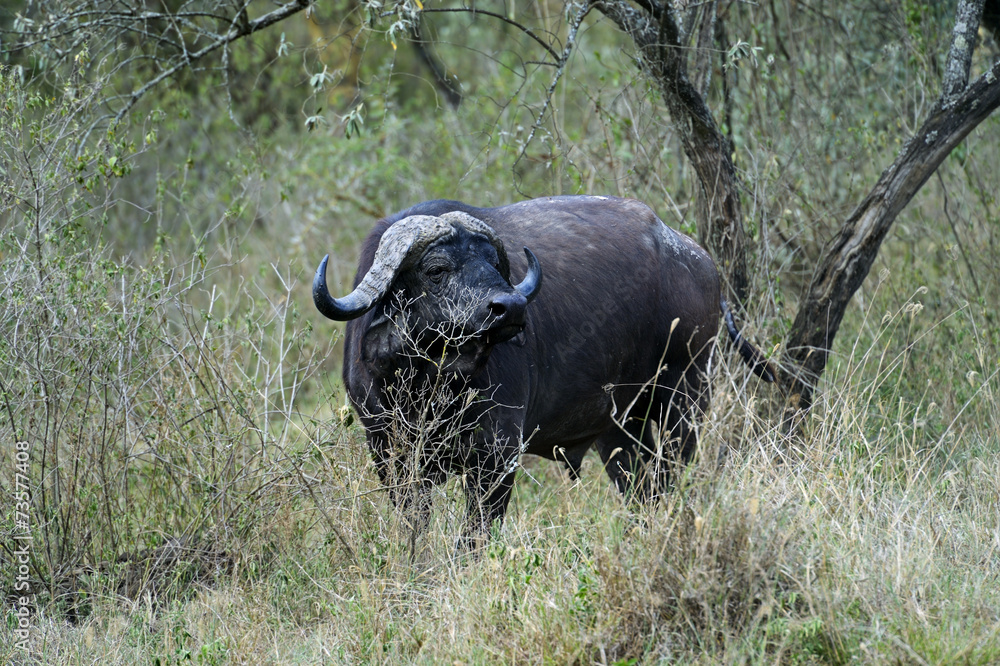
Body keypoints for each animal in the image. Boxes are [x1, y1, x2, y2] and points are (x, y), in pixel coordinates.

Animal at [314, 195, 774, 546]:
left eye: (493, 263)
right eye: (436, 269)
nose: (511, 307)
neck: (428, 385)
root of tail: (697, 259)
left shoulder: (497, 457)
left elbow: (474, 538)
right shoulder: (390, 457)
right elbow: (415, 530)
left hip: (685, 397)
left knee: (674, 478)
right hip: (619, 429)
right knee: (641, 491)